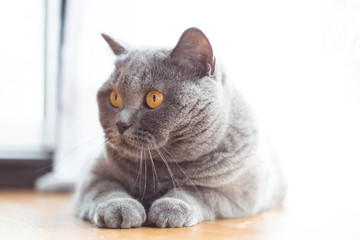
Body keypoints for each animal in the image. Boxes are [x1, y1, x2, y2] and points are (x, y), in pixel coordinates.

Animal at [74, 28, 286, 229]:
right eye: (114, 97)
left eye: (154, 98)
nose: (121, 123)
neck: (157, 166)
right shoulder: (93, 174)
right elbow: (105, 188)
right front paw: (119, 208)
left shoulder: (238, 194)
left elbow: (196, 191)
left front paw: (170, 209)